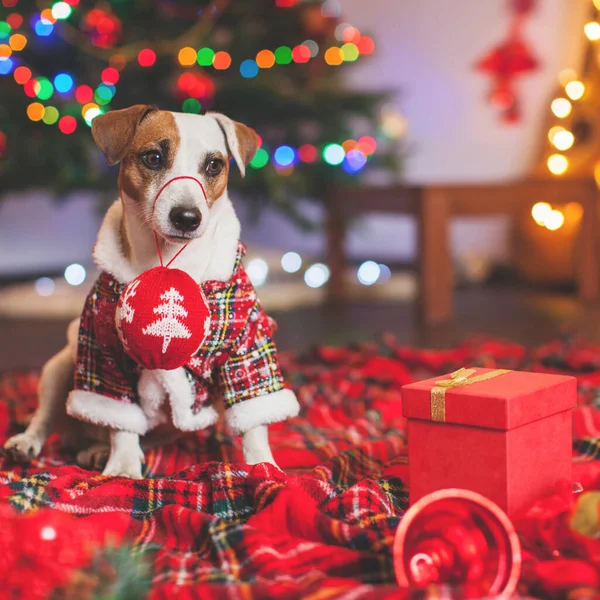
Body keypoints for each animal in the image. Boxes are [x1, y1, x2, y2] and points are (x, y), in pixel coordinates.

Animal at [4, 104, 302, 478]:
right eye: (153, 157)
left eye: (214, 165)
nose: (187, 217)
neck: (171, 266)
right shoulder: (101, 350)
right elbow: (119, 418)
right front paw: (123, 467)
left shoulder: (247, 344)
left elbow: (255, 417)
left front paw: (264, 468)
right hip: (59, 368)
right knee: (49, 417)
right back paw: (32, 442)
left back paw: (97, 450)